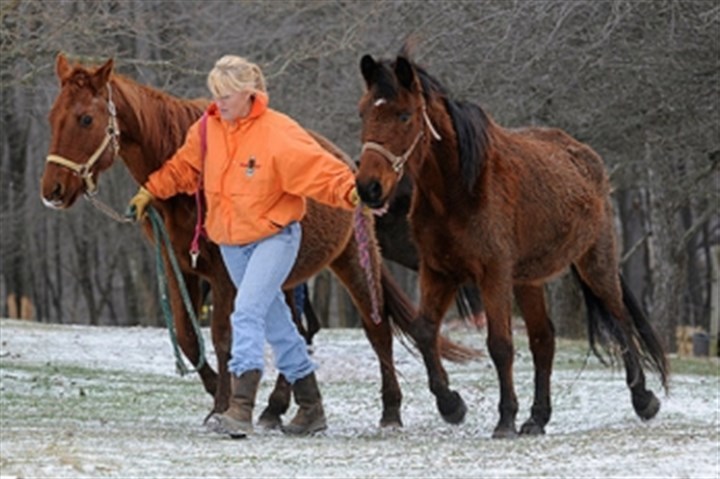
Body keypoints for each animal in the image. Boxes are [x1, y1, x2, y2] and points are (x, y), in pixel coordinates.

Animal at [354, 45, 669, 438]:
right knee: (543, 340)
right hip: (528, 280)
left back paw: (643, 400)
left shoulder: (493, 274)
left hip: (596, 263)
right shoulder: (438, 272)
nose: (368, 187)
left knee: (620, 320)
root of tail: (586, 157)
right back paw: (537, 418)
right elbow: (424, 331)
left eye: (404, 115)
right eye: (364, 112)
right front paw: (451, 405)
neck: (459, 190)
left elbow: (500, 344)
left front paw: (504, 418)